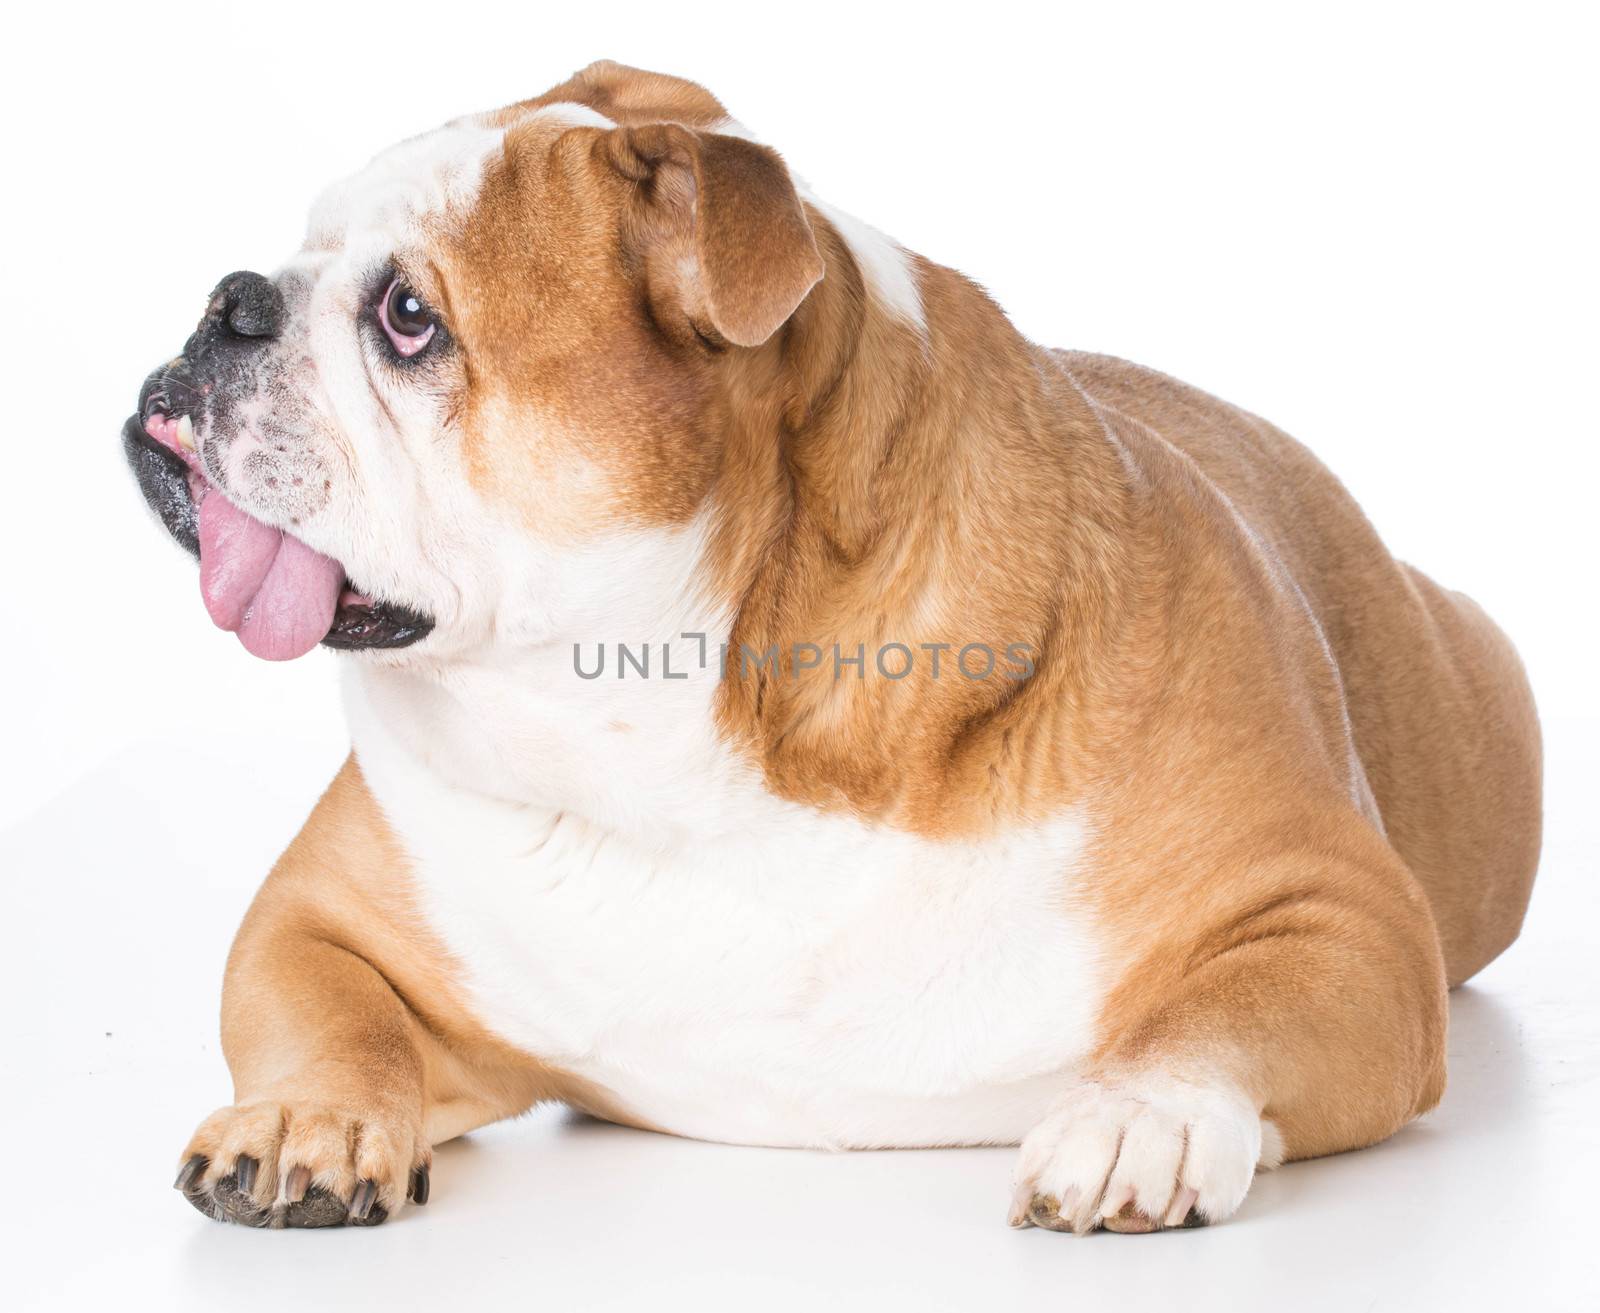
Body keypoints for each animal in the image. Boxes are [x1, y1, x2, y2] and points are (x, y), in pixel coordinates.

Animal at [118, 61, 1542, 1228]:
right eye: (302, 247)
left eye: (408, 315)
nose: (226, 302)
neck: (674, 729)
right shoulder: (319, 916)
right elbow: (332, 1013)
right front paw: (307, 1117)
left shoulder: (1340, 916)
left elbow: (1221, 1008)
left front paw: (1143, 1113)